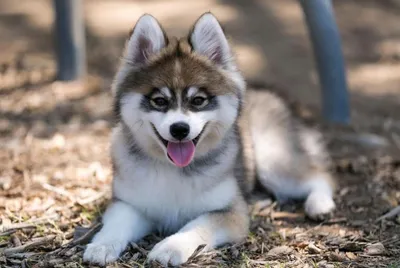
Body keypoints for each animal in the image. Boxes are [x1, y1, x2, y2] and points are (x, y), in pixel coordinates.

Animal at [83, 12, 336, 266]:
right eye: (159, 101)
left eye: (198, 100)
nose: (179, 129)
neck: (174, 170)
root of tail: (271, 93)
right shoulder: (129, 204)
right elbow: (116, 224)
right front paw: (101, 245)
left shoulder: (231, 212)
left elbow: (197, 225)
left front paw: (170, 247)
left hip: (272, 160)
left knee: (319, 175)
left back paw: (320, 204)